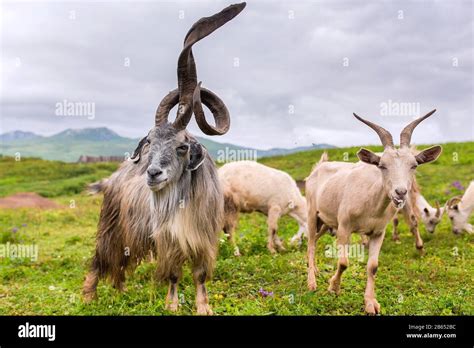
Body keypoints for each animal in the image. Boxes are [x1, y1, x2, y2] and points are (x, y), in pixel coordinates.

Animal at [83, 2, 248, 314]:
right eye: (149, 142)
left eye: (182, 147)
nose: (153, 174)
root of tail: (112, 178)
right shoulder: (168, 240)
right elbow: (172, 274)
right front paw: (172, 306)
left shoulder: (203, 239)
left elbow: (200, 275)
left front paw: (204, 307)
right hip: (112, 228)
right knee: (100, 260)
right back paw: (88, 296)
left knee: (121, 266)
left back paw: (121, 291)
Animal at [306, 110, 442, 314]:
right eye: (382, 165)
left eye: (414, 165)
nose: (400, 192)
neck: (370, 203)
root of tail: (318, 167)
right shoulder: (344, 227)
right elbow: (343, 262)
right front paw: (333, 287)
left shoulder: (378, 232)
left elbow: (373, 266)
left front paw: (371, 303)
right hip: (312, 213)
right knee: (310, 243)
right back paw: (311, 283)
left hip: (326, 220)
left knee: (315, 239)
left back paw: (313, 269)